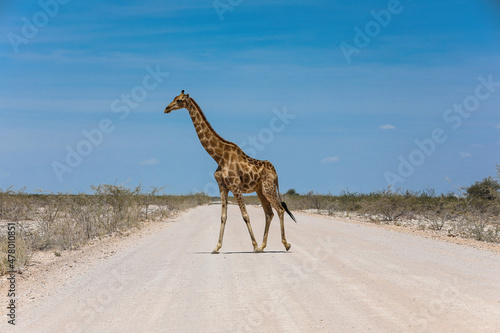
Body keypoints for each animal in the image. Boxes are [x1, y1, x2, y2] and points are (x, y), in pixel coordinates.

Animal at [164, 89, 296, 253]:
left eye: (180, 100)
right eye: (174, 98)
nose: (167, 108)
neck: (219, 157)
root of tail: (276, 173)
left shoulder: (235, 186)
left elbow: (245, 215)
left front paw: (253, 245)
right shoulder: (222, 187)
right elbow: (223, 216)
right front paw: (217, 247)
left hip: (268, 188)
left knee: (280, 210)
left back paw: (285, 244)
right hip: (260, 190)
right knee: (269, 213)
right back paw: (263, 246)